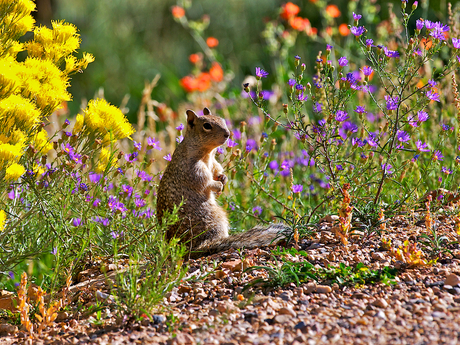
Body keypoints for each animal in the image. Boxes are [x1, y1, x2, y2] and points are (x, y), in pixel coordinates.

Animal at [156, 108, 290, 258]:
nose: (227, 134)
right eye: (207, 126)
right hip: (213, 217)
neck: (207, 154)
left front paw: (223, 178)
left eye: (222, 120)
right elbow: (205, 182)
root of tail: (192, 248)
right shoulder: (193, 170)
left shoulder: (214, 163)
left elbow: (217, 170)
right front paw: (218, 186)